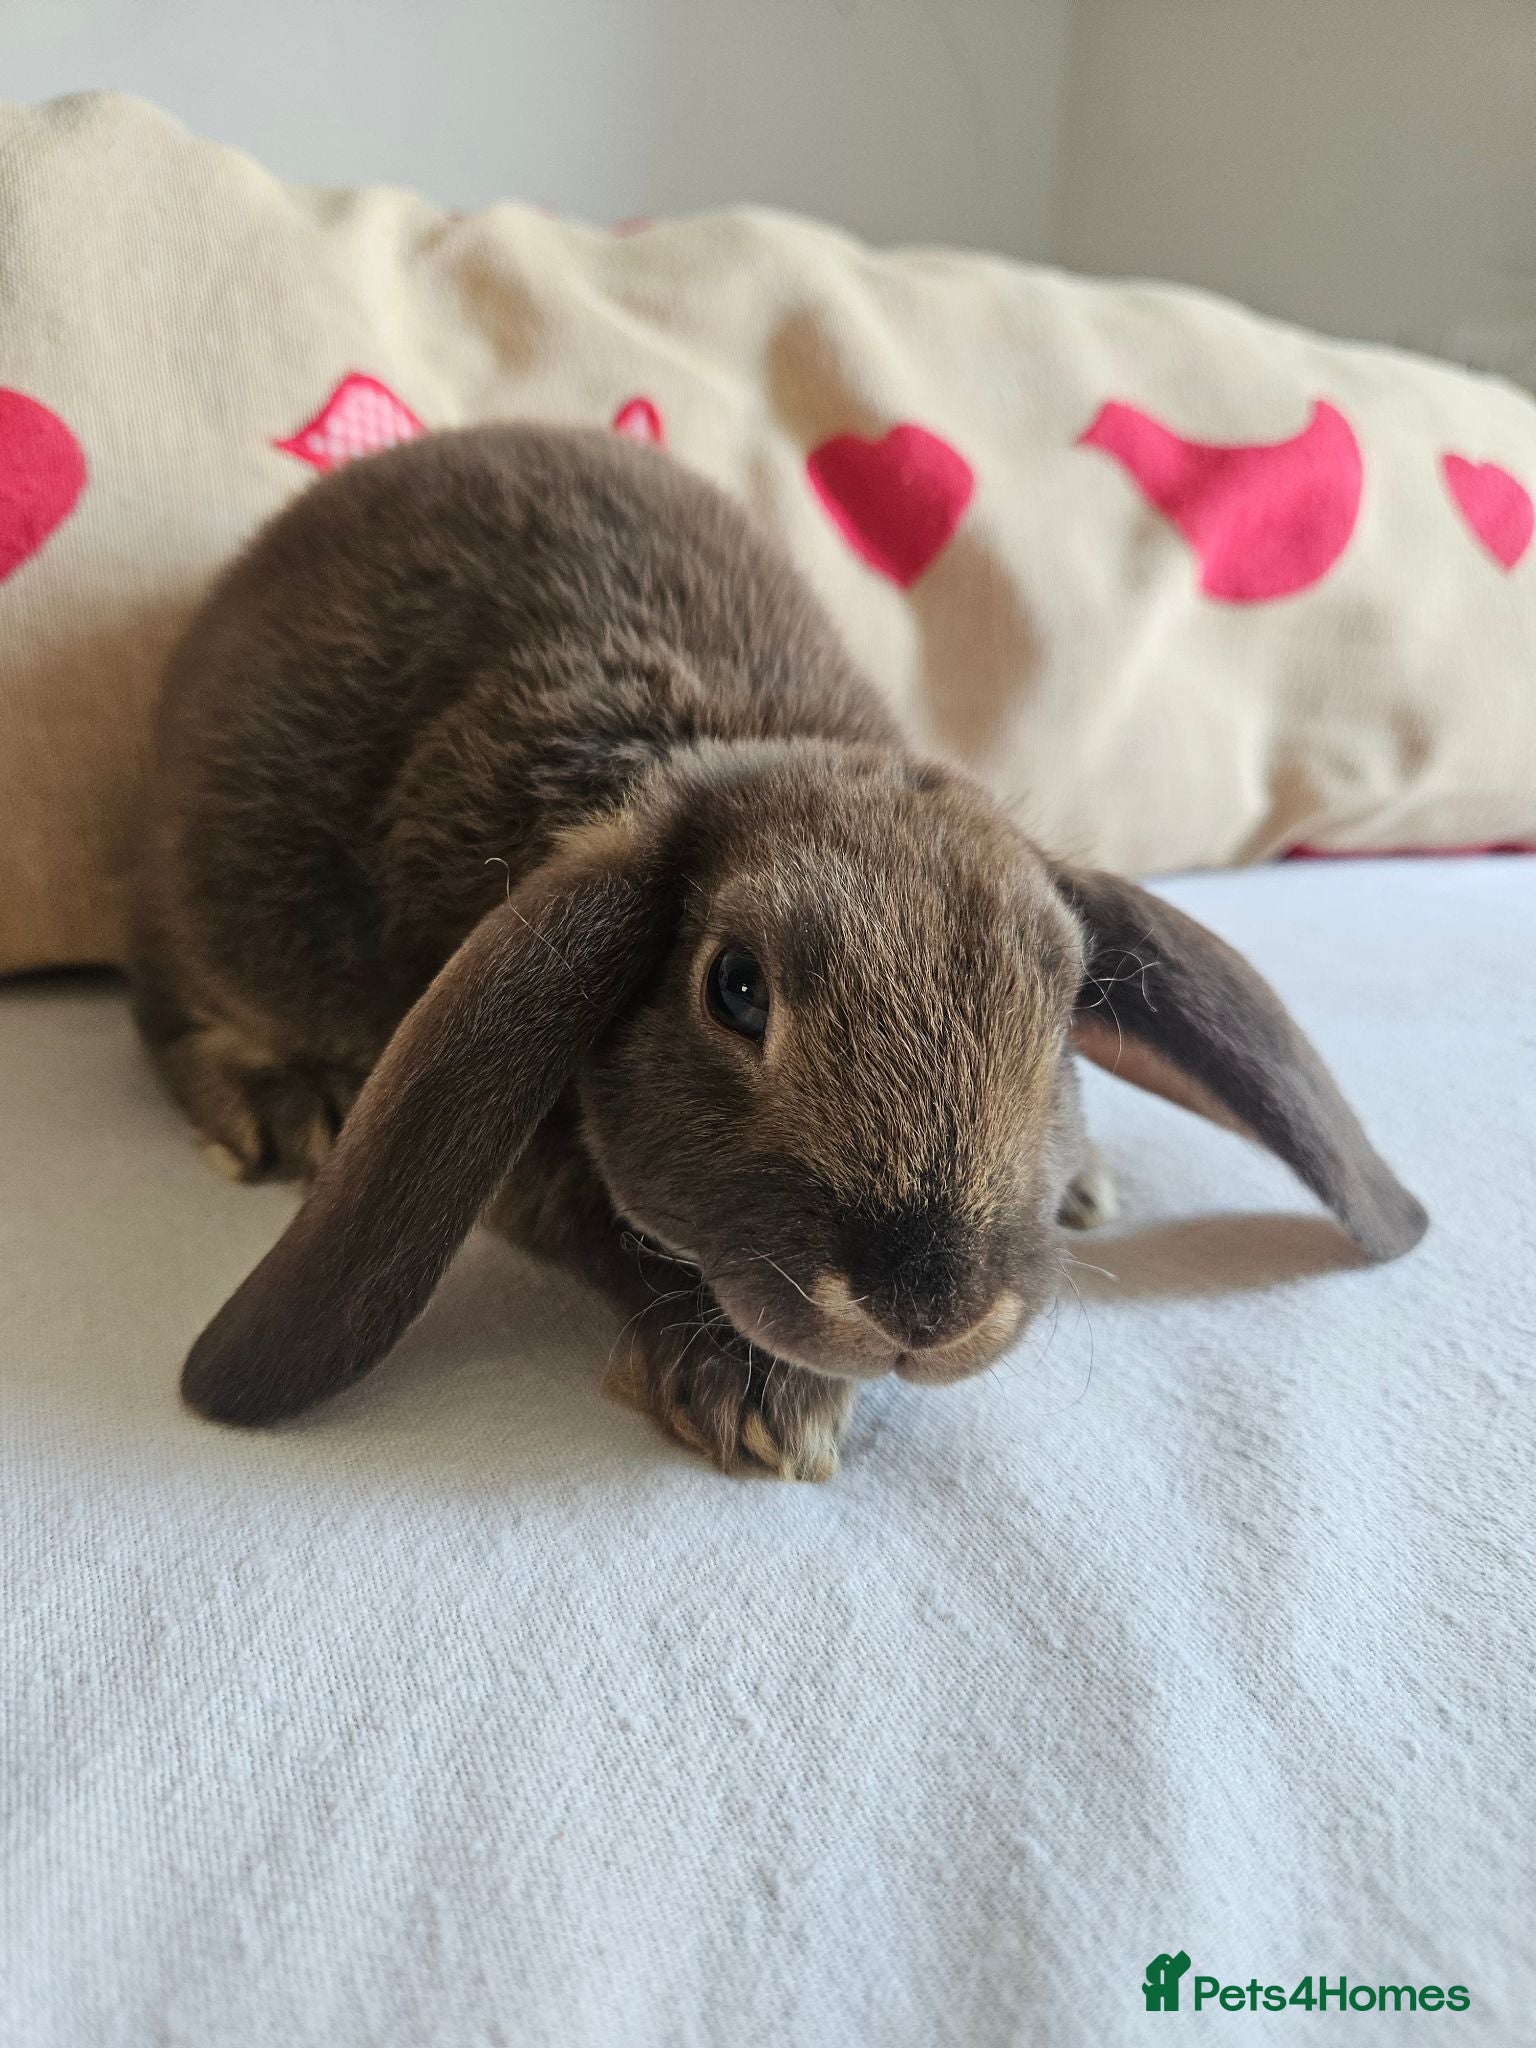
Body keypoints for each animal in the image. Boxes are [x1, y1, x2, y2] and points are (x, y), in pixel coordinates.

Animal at [130, 424, 1428, 1481]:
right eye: (735, 989)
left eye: (1064, 1005)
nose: (929, 1307)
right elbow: (599, 1219)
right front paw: (761, 1394)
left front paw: (1083, 1181)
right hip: (217, 894)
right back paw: (282, 1110)